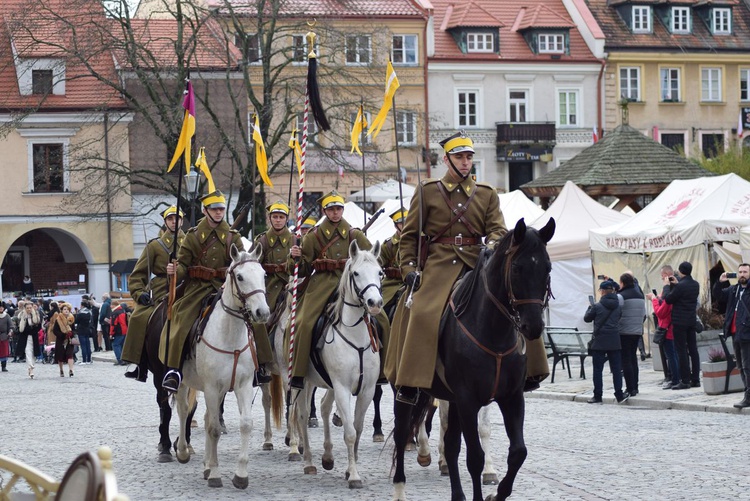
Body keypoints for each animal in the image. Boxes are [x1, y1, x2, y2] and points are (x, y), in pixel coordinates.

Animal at [175, 244, 272, 486]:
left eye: (263, 275)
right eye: (240, 276)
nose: (262, 313)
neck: (230, 334)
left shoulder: (242, 385)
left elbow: (245, 423)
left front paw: (240, 474)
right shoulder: (211, 386)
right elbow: (214, 429)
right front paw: (216, 473)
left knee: (205, 416)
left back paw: (206, 465)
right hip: (184, 383)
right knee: (183, 410)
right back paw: (183, 451)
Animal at [292, 240, 384, 486]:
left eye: (380, 272)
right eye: (356, 273)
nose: (375, 303)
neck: (356, 337)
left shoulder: (367, 390)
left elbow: (358, 428)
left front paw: (350, 468)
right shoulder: (342, 387)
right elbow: (350, 432)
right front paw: (353, 476)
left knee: (323, 408)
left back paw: (327, 456)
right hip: (302, 381)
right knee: (302, 414)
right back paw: (308, 461)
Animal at [394, 218, 552, 500]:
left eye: (548, 267)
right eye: (517, 268)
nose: (533, 326)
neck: (492, 330)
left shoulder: (511, 397)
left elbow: (518, 452)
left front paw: (497, 493)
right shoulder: (468, 399)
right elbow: (475, 458)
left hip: (453, 399)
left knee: (451, 444)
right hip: (406, 387)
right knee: (402, 433)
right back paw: (399, 489)